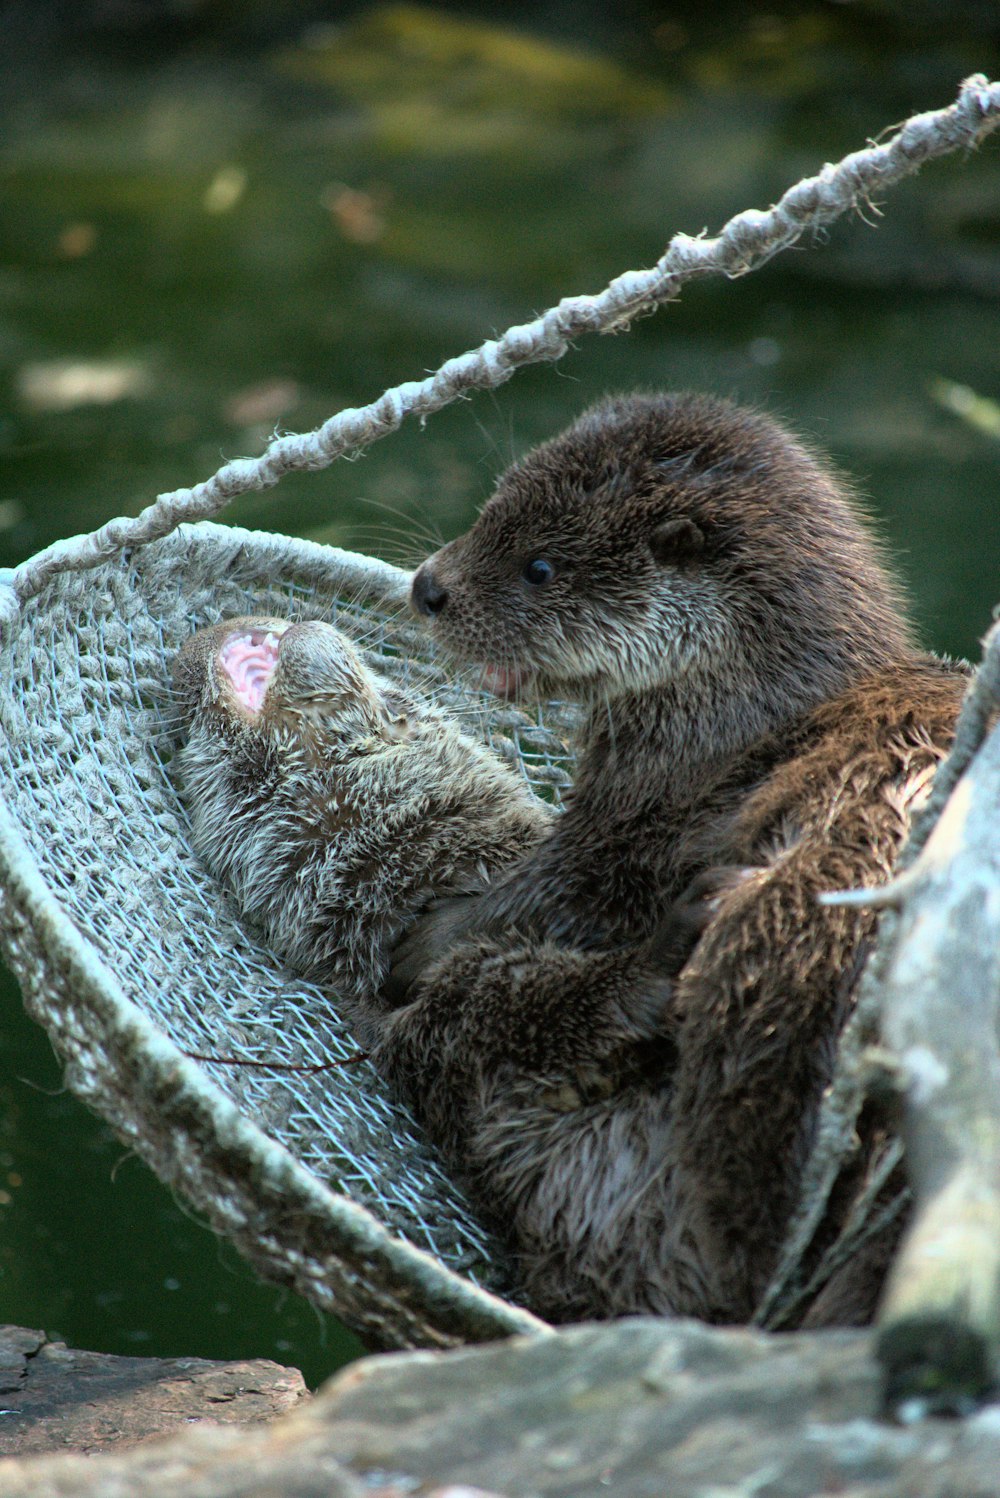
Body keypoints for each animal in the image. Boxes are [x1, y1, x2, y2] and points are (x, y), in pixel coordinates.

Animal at [372, 395, 958, 1324]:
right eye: (490, 507)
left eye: (540, 567)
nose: (429, 585)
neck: (733, 729)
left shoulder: (626, 838)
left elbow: (529, 902)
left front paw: (417, 944)